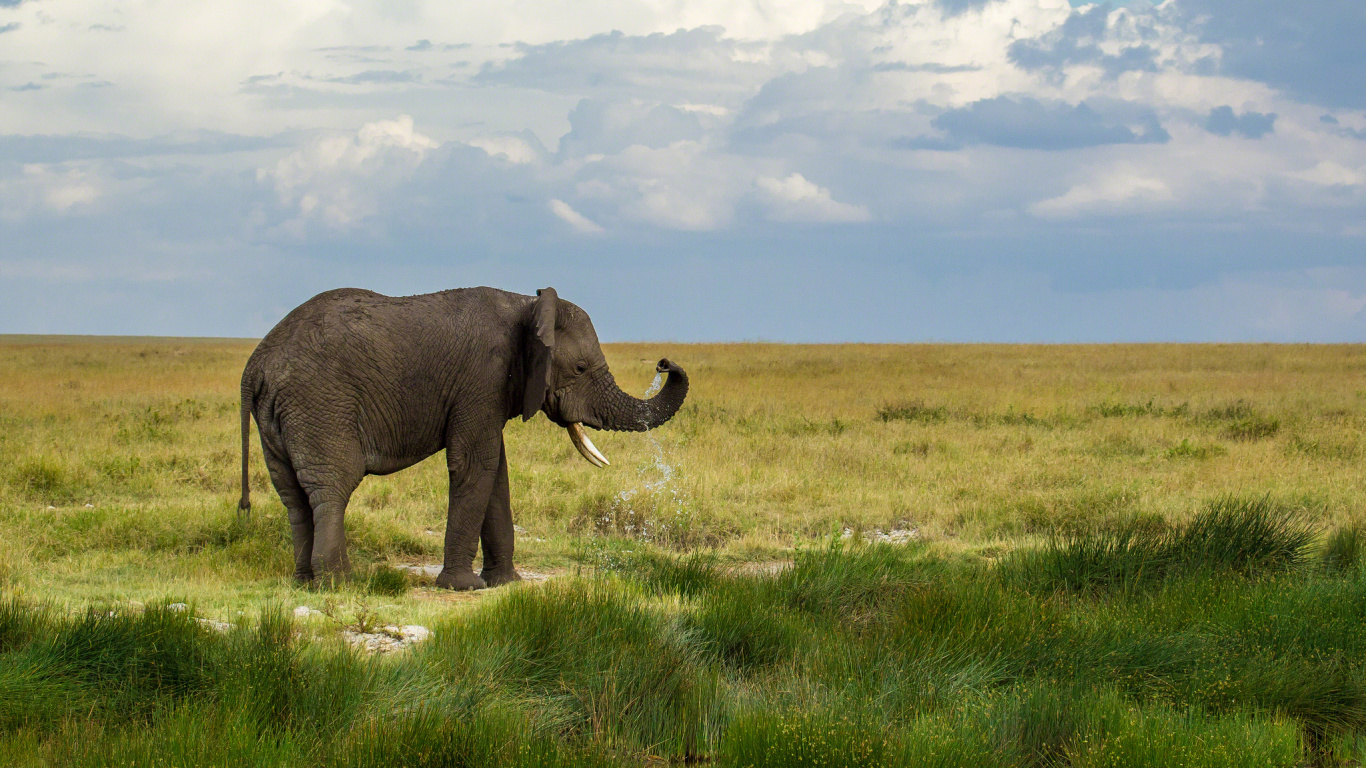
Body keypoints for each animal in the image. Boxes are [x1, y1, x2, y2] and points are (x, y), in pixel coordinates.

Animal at [236, 286, 688, 589]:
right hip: (320, 405)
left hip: (279, 418)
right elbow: (475, 463)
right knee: (332, 488)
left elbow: (496, 471)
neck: (526, 304)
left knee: (293, 496)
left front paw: (506, 583)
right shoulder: (482, 377)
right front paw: (464, 586)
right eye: (579, 368)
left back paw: (304, 582)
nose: (664, 363)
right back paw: (341, 583)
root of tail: (255, 365)